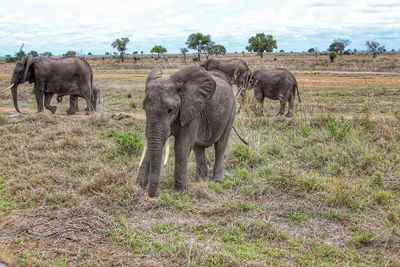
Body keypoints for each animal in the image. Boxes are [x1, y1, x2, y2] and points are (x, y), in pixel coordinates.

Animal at [138, 66, 238, 198]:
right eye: (144, 109)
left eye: (170, 110)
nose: (156, 194)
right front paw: (138, 187)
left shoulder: (191, 111)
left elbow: (182, 146)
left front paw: (180, 192)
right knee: (198, 147)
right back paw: (199, 180)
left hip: (232, 110)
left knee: (221, 145)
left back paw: (217, 181)